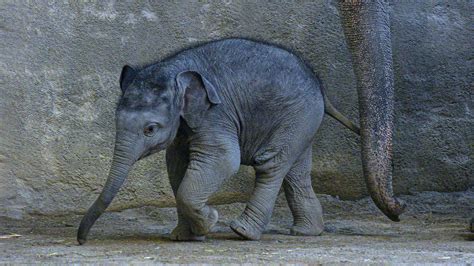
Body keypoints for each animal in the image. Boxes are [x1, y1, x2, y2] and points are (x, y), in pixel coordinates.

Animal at [78, 38, 360, 244]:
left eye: (150, 129)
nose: (82, 240)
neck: (174, 69)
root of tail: (319, 85)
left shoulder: (216, 114)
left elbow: (223, 159)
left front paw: (210, 221)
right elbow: (177, 165)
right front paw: (184, 237)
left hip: (297, 115)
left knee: (271, 164)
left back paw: (243, 232)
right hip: (302, 122)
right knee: (295, 170)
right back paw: (305, 232)